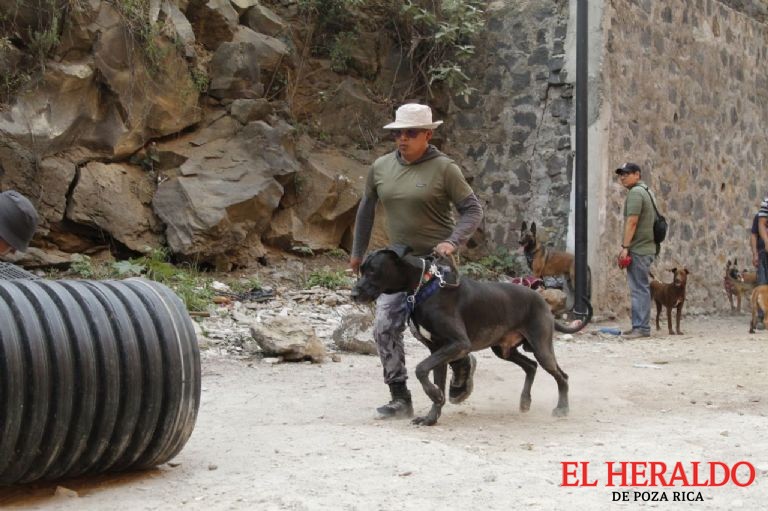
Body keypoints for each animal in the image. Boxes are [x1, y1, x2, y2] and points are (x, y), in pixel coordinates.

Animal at [352, 248, 592, 428]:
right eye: (361, 270)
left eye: (372, 271)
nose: (353, 294)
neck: (425, 287)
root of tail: (542, 300)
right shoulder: (437, 351)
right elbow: (432, 378)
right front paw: (431, 417)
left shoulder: (457, 343)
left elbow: (420, 369)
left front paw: (435, 397)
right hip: (504, 350)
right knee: (531, 366)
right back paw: (525, 401)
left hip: (541, 347)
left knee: (561, 376)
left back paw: (562, 408)